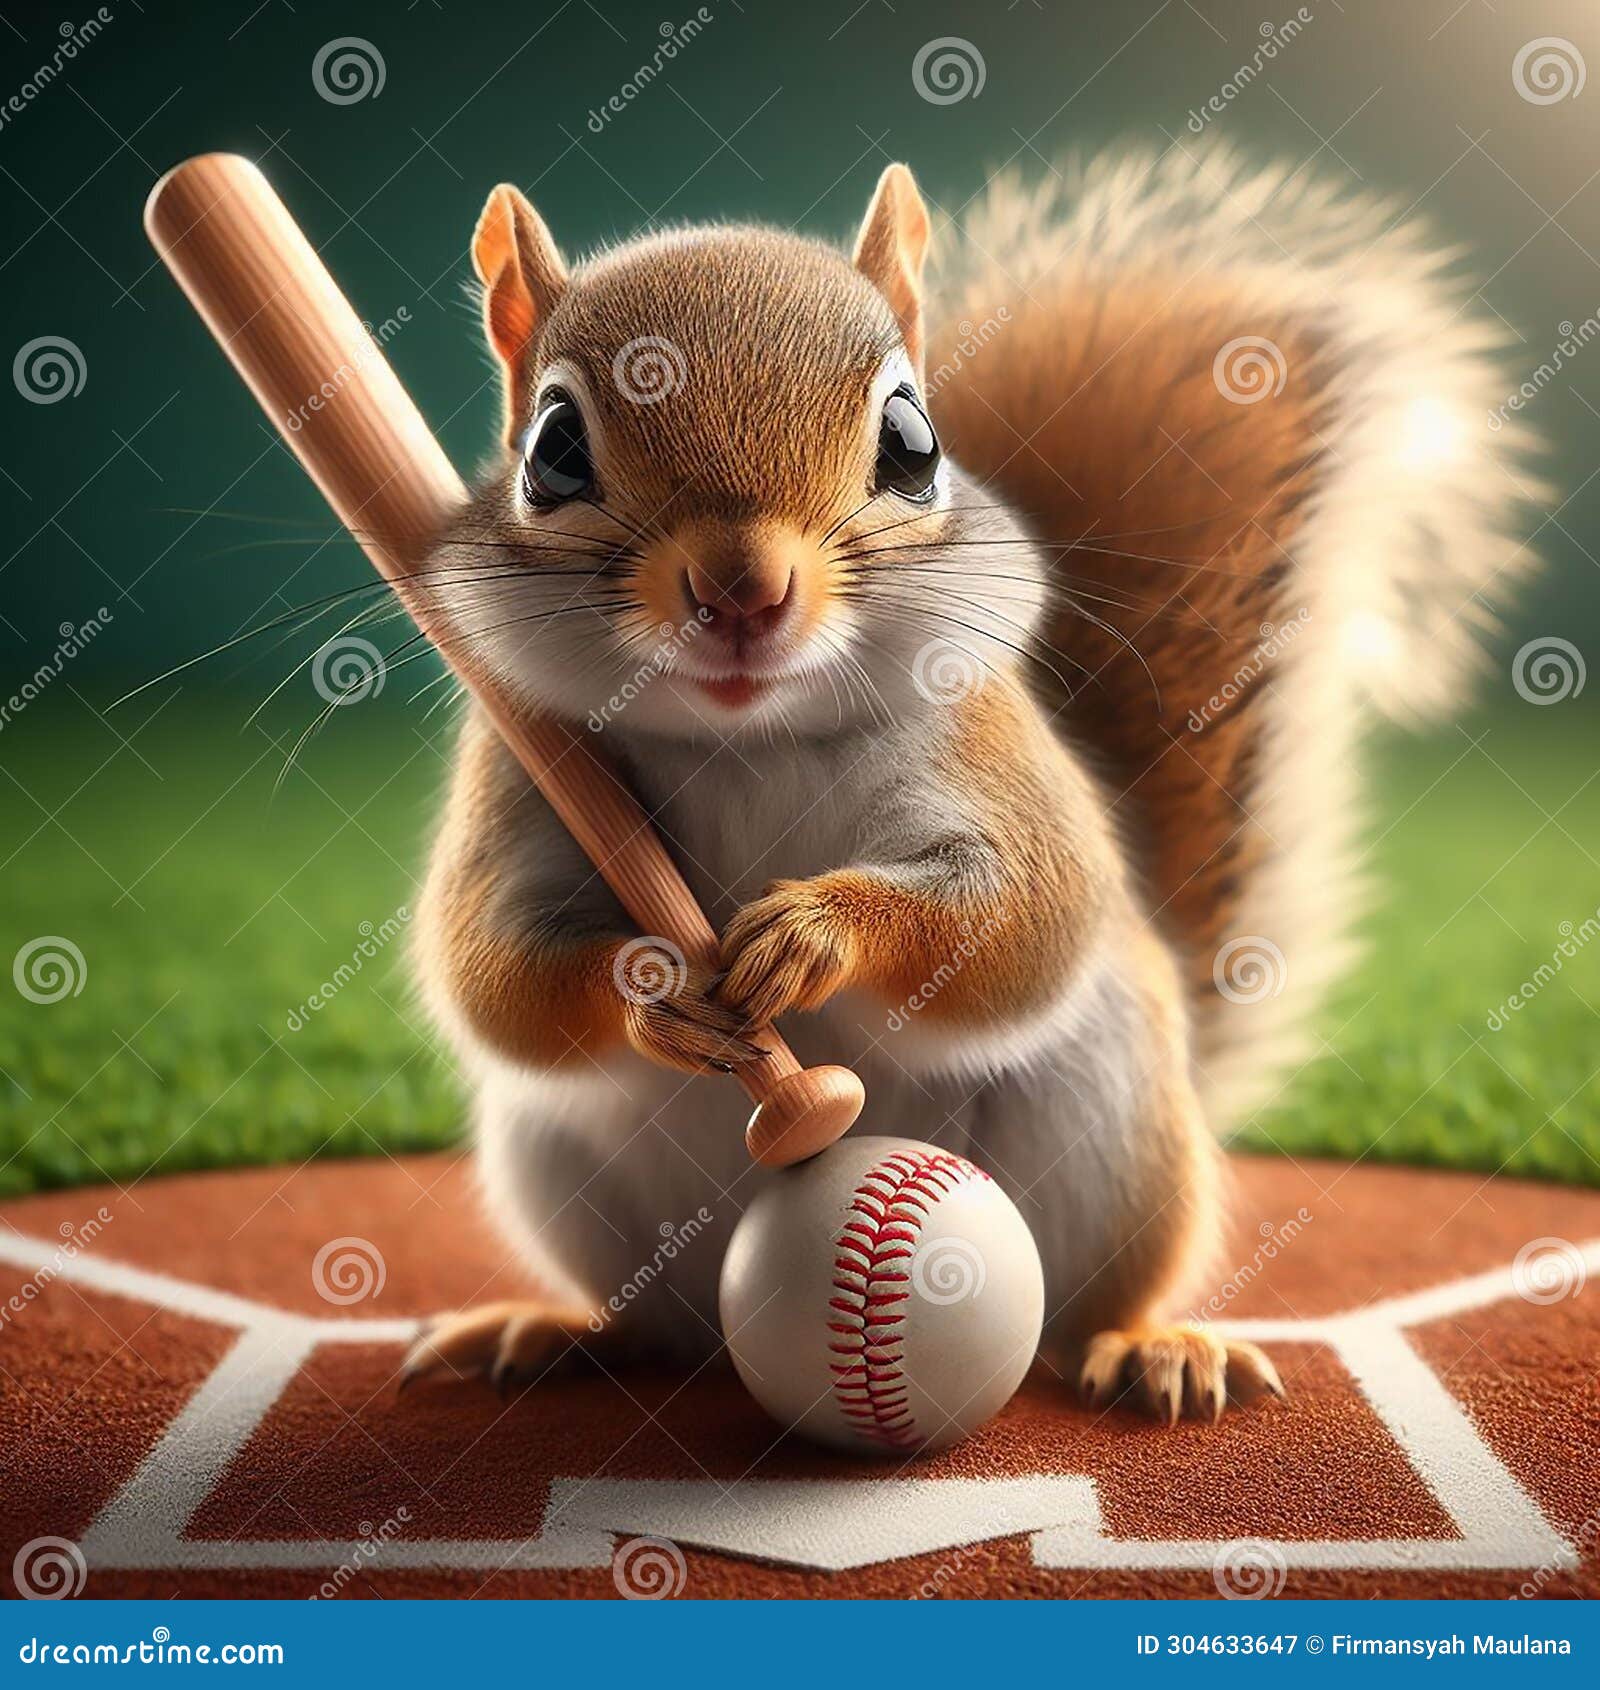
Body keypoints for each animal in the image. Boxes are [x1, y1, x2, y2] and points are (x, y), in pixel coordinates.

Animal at [403, 148, 1535, 1420]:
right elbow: (488, 962)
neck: (746, 735)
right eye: (552, 449)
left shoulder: (991, 754)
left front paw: (815, 934)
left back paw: (1153, 1348)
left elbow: (1026, 915)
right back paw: (557, 1332)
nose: (740, 592)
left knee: (1089, 1304)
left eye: (911, 440)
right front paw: (659, 988)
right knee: (648, 1322)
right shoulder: (523, 770)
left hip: (1109, 1138)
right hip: (563, 1170)